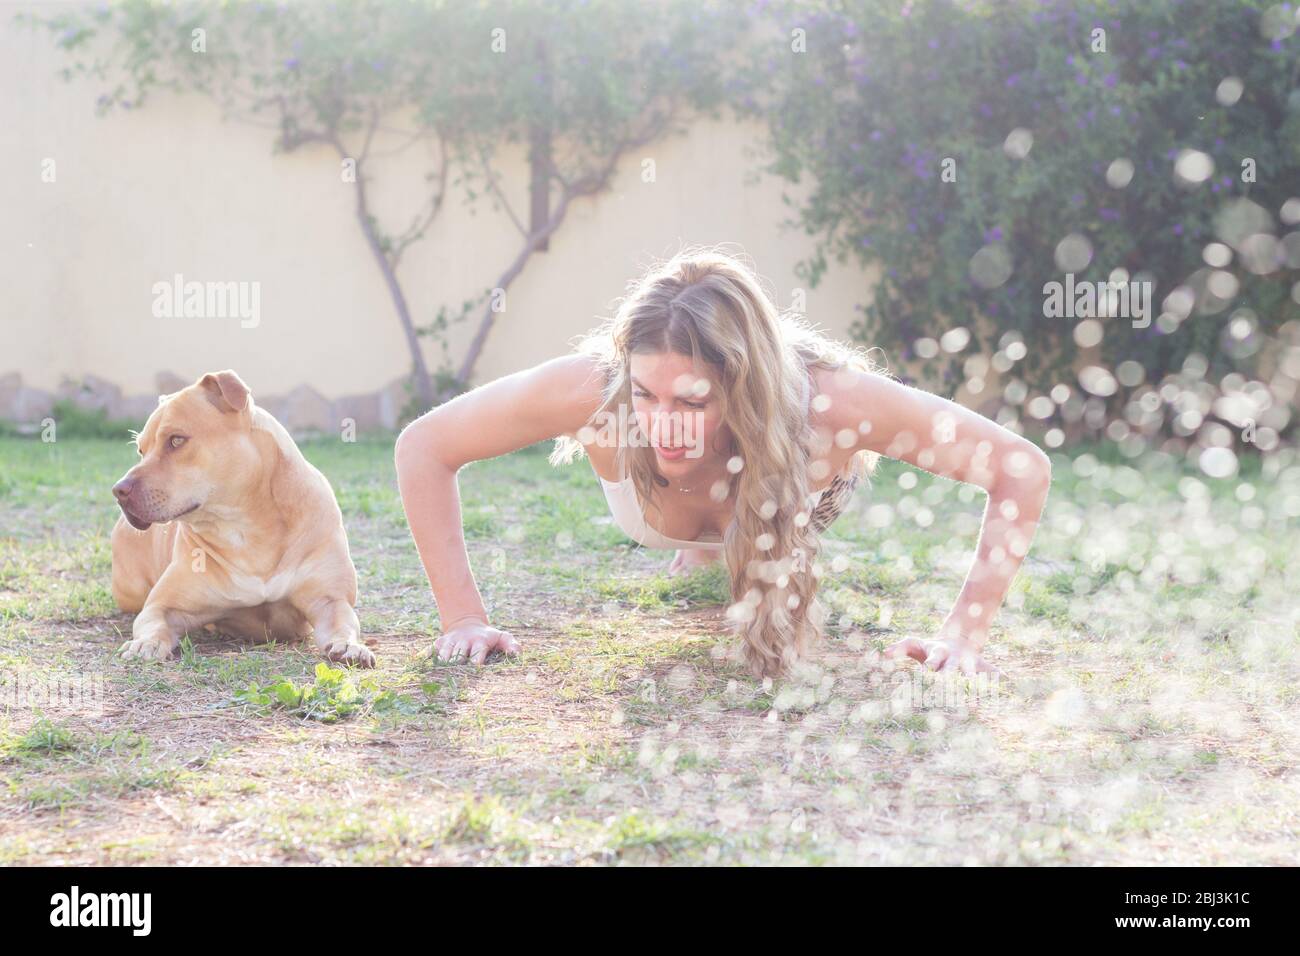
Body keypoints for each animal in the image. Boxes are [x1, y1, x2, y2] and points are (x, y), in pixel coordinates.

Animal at [111, 369, 377, 671]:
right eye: (141, 450)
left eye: (176, 440)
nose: (119, 490)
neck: (245, 527)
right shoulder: (162, 605)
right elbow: (152, 622)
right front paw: (146, 643)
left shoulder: (329, 600)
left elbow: (343, 624)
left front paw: (351, 646)